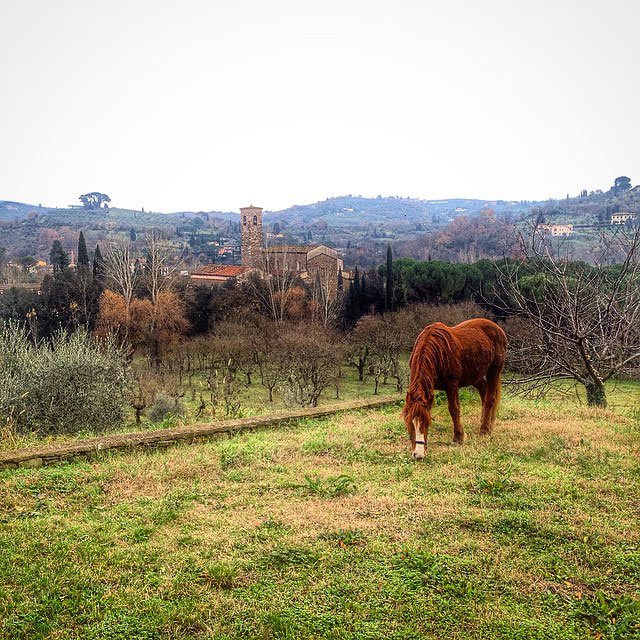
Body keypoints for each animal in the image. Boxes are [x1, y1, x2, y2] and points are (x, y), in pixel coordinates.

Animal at [404, 318, 504, 458]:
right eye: (410, 424)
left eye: (427, 423)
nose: (418, 454)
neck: (437, 350)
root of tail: (497, 328)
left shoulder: (451, 385)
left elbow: (454, 410)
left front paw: (458, 437)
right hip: (474, 375)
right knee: (484, 392)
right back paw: (485, 422)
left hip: (494, 370)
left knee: (490, 398)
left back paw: (484, 429)